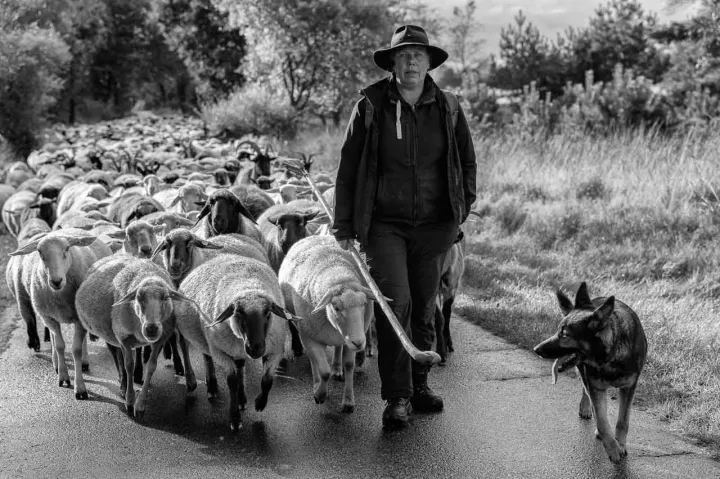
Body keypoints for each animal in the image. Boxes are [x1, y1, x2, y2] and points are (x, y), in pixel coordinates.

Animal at [8, 228, 112, 398]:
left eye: (67, 249)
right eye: (39, 252)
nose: (56, 281)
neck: (60, 295)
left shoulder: (78, 318)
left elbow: (76, 349)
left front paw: (80, 388)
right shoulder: (49, 318)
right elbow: (59, 346)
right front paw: (63, 377)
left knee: (82, 342)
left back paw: (84, 362)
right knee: (53, 339)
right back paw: (56, 363)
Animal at [75, 255, 197, 416]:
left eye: (166, 297)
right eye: (138, 298)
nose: (151, 329)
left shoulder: (160, 339)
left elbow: (151, 366)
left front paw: (140, 404)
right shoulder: (123, 338)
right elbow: (129, 365)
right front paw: (129, 400)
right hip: (92, 325)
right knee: (89, 352)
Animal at [174, 255, 298, 432]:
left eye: (268, 313)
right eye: (238, 313)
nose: (255, 348)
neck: (246, 285)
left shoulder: (274, 351)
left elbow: (267, 380)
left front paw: (259, 403)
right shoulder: (220, 352)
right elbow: (231, 381)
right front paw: (234, 418)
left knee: (230, 364)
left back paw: (237, 397)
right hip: (193, 333)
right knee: (191, 350)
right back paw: (201, 384)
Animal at [278, 235, 380, 412]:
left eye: (363, 304)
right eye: (336, 307)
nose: (359, 342)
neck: (338, 275)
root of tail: (315, 235)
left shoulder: (348, 339)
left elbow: (349, 364)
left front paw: (348, 401)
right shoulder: (310, 337)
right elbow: (324, 371)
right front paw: (320, 394)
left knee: (338, 348)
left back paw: (337, 368)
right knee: (314, 360)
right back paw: (317, 381)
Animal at [536, 284, 648, 464]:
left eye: (564, 334)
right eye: (558, 330)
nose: (536, 349)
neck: (610, 355)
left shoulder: (628, 387)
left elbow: (623, 421)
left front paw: (620, 444)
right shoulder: (595, 387)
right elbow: (602, 421)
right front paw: (613, 448)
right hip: (584, 373)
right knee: (586, 392)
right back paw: (586, 409)